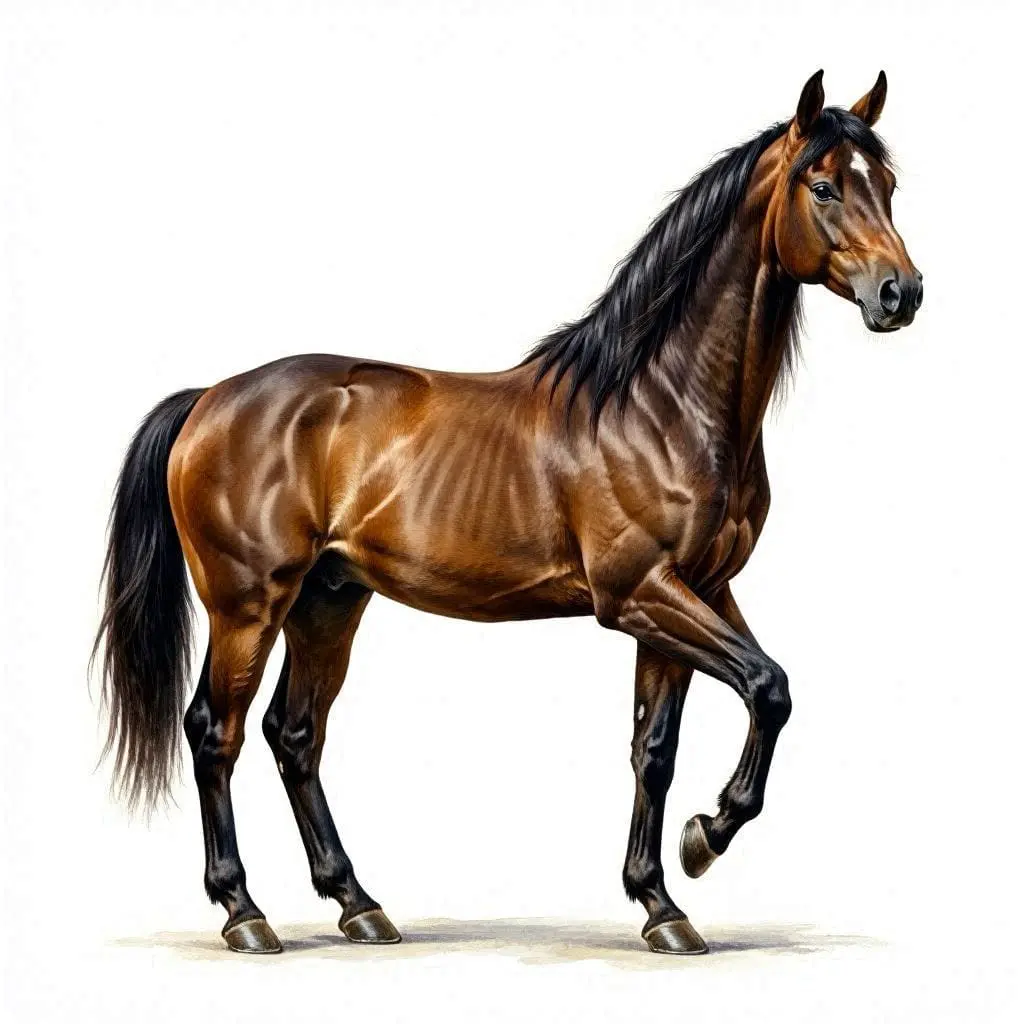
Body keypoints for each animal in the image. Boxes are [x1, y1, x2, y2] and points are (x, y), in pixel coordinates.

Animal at [93, 70, 922, 956]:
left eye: (889, 185)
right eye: (822, 185)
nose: (900, 292)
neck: (657, 403)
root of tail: (209, 398)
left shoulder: (697, 592)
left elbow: (657, 748)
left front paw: (662, 902)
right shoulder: (639, 595)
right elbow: (768, 686)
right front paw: (707, 837)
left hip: (329, 600)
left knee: (296, 734)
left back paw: (358, 903)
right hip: (248, 606)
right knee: (217, 733)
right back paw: (245, 914)